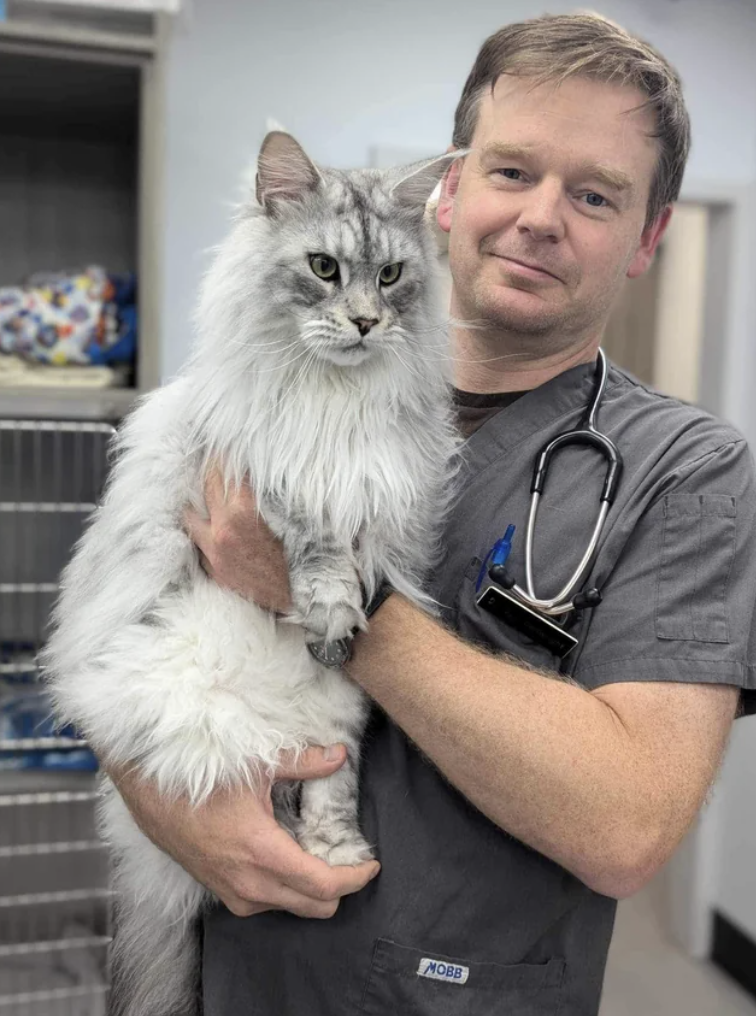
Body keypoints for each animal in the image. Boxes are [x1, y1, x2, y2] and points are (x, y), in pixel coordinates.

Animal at [44, 133, 463, 1016]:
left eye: (392, 276)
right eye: (325, 268)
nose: (366, 321)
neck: (332, 399)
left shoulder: (386, 503)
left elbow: (364, 554)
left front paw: (340, 618)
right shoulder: (262, 473)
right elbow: (316, 541)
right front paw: (329, 604)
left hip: (332, 723)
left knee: (325, 789)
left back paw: (340, 857)